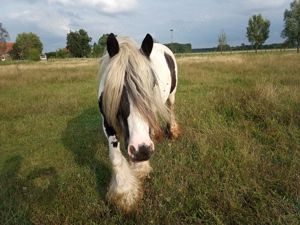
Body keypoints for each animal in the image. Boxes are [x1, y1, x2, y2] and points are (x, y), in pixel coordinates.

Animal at [97, 33, 179, 213]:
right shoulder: (107, 122)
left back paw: (172, 131)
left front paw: (140, 170)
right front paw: (125, 194)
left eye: (153, 84)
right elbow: (115, 157)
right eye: (116, 89)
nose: (142, 150)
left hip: (172, 95)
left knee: (170, 109)